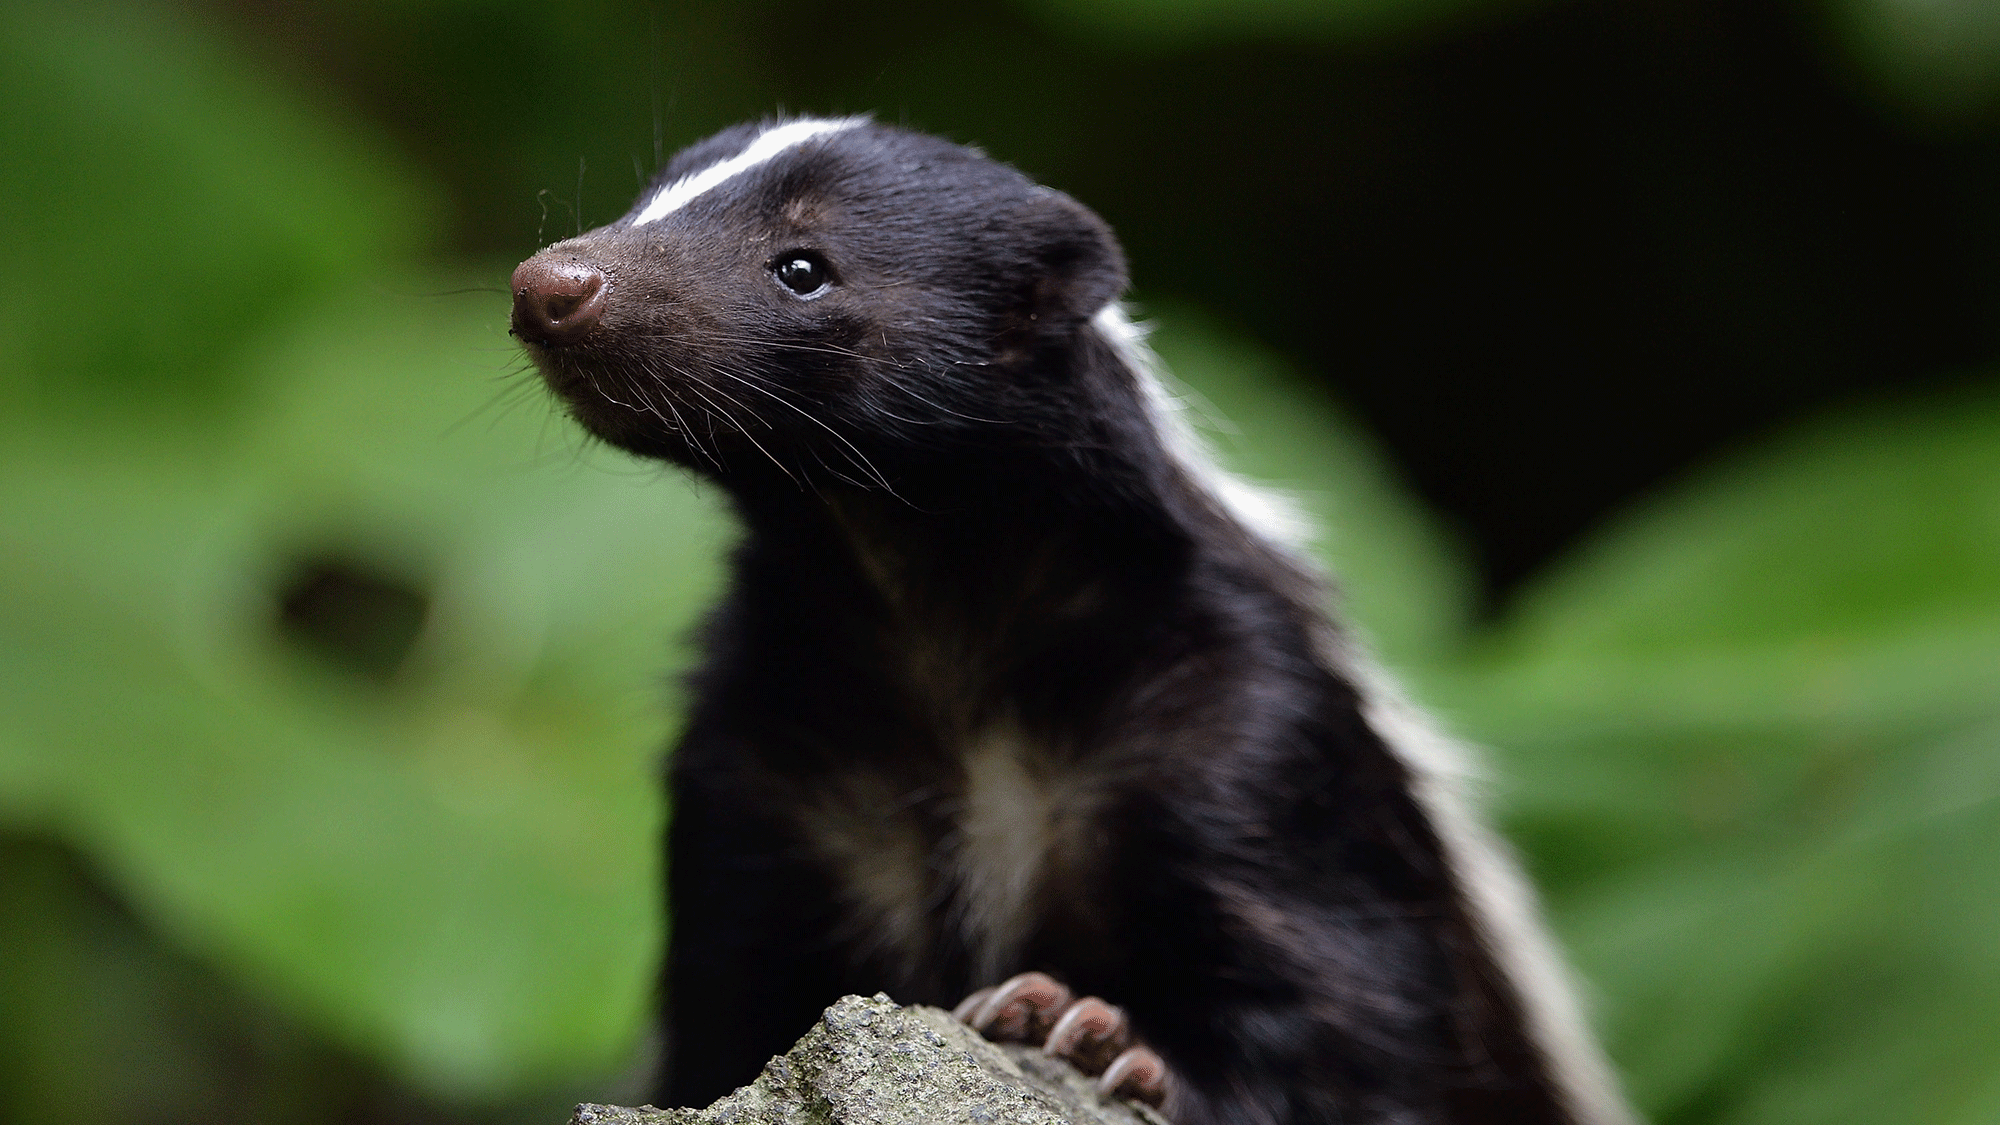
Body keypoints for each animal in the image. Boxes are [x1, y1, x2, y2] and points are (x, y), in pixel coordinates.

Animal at [508, 116, 1632, 1120]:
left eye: (802, 267)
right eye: (648, 199)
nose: (554, 283)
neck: (927, 615)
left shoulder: (1251, 737)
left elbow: (1342, 1012)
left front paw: (1096, 1038)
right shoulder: (762, 768)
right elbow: (726, 1012)